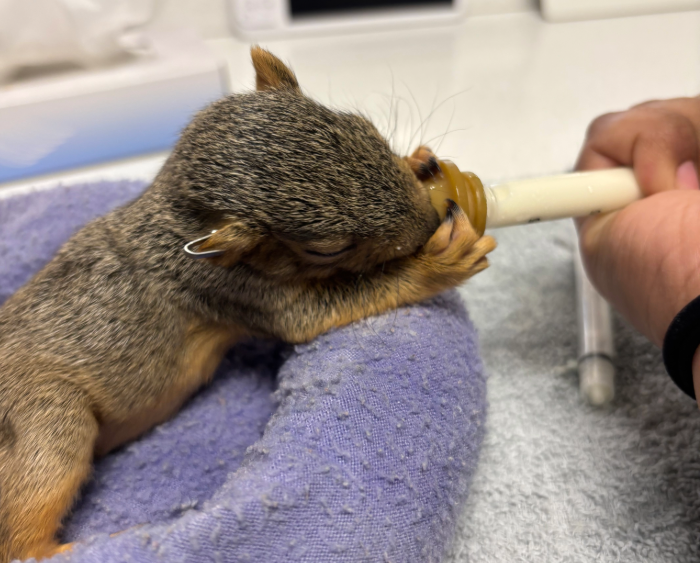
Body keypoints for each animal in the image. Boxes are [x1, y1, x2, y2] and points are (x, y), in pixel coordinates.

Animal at [0, 47, 496, 562]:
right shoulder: (230, 289)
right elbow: (313, 315)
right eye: (326, 249)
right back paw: (118, 543)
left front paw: (421, 161)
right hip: (48, 418)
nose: (429, 224)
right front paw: (442, 260)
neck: (177, 219)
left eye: (367, 128)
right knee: (22, 541)